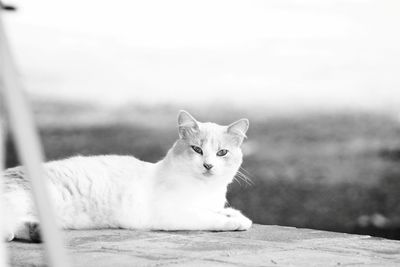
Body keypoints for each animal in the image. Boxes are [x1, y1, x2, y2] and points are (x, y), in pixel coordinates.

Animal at [1, 111, 252, 243]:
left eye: (222, 153)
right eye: (197, 150)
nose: (208, 165)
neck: (205, 189)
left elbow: (222, 211)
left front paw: (236, 215)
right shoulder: (174, 214)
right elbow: (211, 218)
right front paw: (235, 222)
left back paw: (38, 231)